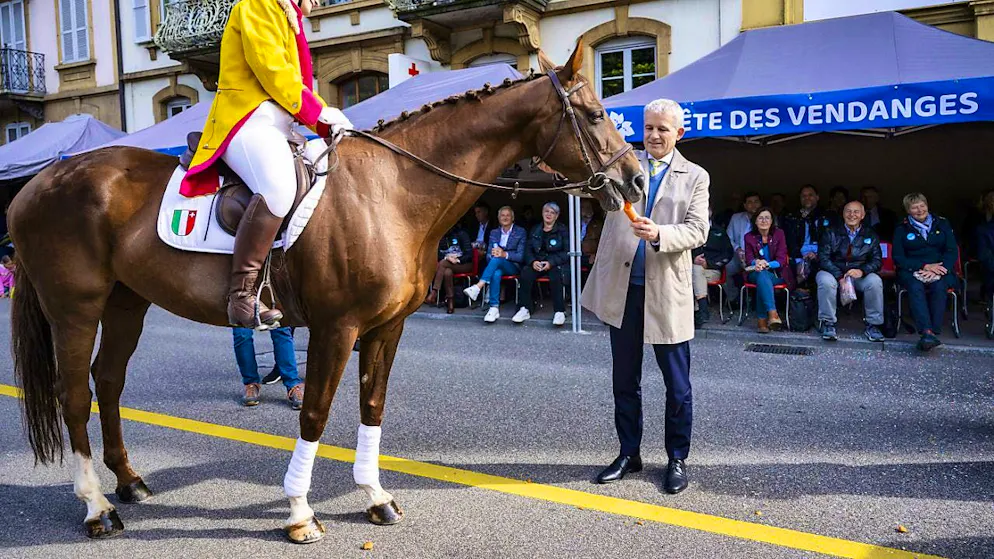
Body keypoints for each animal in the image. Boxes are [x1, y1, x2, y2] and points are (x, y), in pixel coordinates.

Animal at [8, 43, 644, 543]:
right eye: (594, 114)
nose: (635, 179)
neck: (391, 190)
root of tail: (38, 184)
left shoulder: (387, 327)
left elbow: (371, 406)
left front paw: (375, 497)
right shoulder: (337, 328)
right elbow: (314, 412)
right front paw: (298, 512)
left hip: (126, 303)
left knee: (108, 383)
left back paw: (130, 482)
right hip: (75, 310)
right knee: (73, 396)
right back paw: (96, 506)